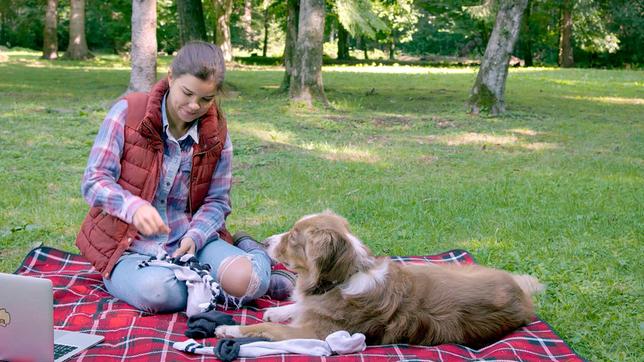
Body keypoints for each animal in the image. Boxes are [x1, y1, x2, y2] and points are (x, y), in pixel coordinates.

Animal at [216, 212, 544, 348]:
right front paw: (281, 309)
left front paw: (229, 330)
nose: (265, 242)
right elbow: (298, 306)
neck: (342, 278)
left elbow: (267, 328)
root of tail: (519, 291)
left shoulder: (315, 334)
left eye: (294, 238)